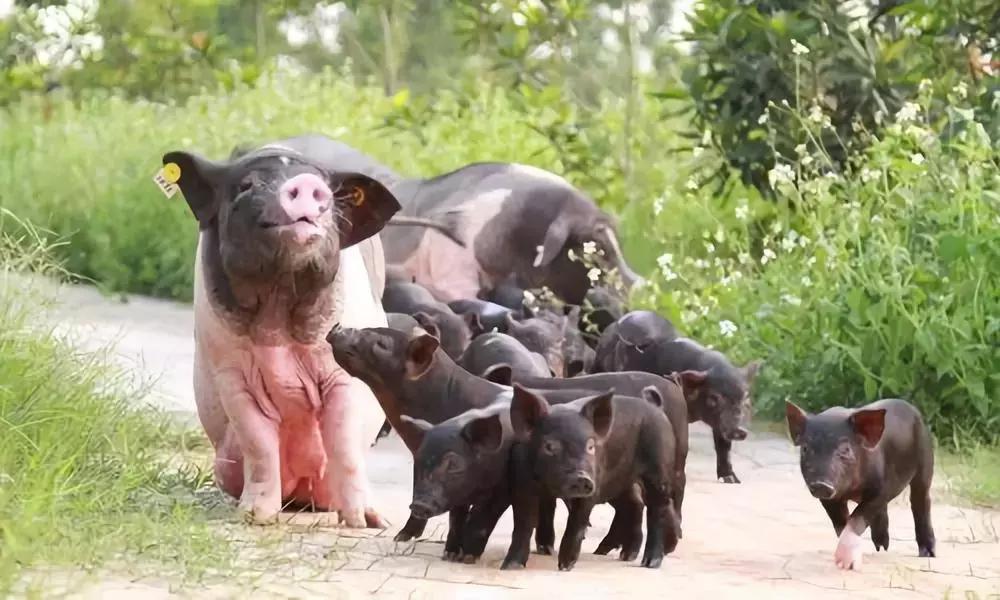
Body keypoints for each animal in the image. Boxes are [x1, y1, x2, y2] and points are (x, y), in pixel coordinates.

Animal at [162, 135, 400, 524]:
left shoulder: (344, 373)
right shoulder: (230, 374)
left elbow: (345, 441)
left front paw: (367, 523)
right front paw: (256, 516)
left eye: (328, 192)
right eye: (246, 185)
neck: (278, 304)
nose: (305, 183)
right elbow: (257, 439)